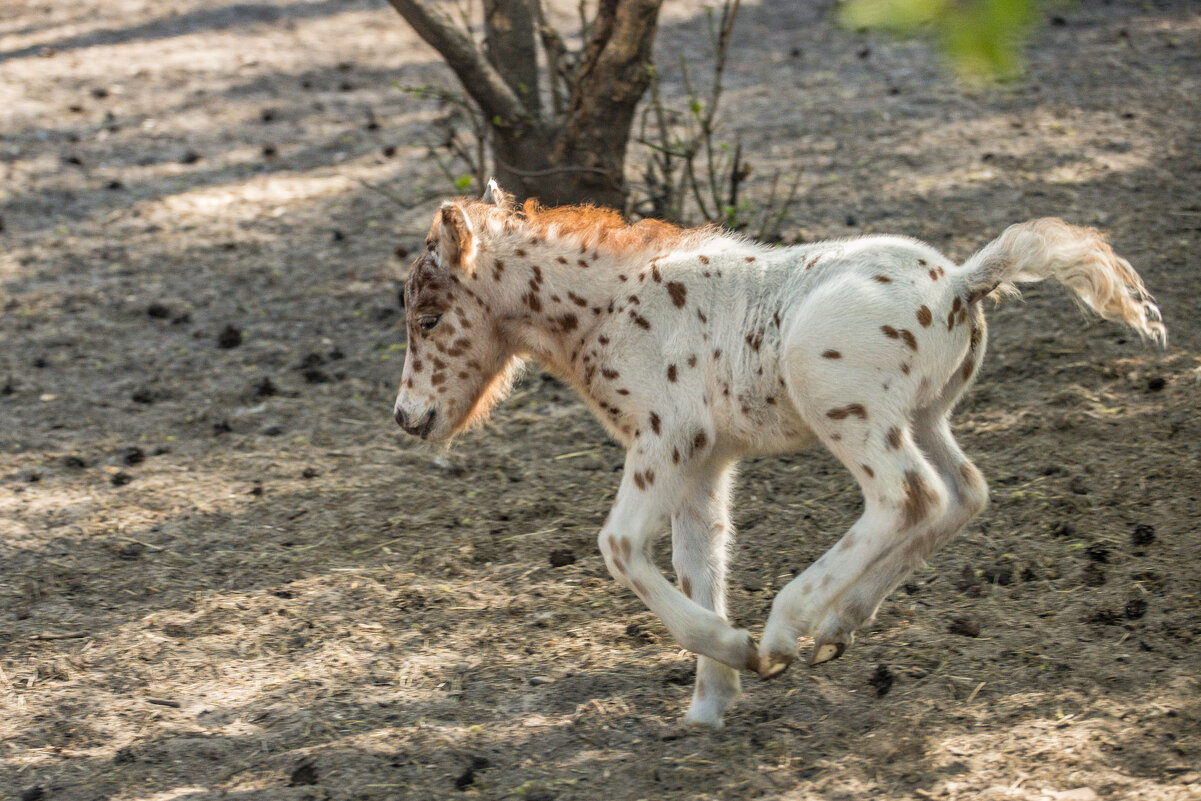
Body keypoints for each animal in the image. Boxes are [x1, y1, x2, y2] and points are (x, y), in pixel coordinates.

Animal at [393, 184, 1162, 730]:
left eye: (429, 319)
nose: (408, 417)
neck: (612, 308)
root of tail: (959, 282)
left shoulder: (664, 439)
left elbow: (619, 546)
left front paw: (740, 650)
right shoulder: (702, 463)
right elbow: (699, 561)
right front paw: (710, 702)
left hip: (845, 408)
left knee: (905, 496)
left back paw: (792, 624)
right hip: (922, 415)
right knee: (962, 492)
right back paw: (838, 625)